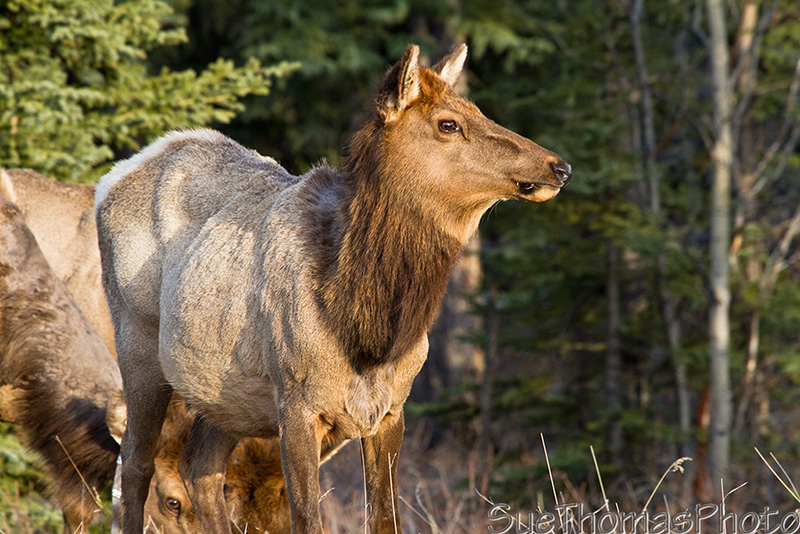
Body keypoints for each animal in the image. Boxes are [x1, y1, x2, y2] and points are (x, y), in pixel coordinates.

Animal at [95, 43, 571, 534]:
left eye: (476, 109)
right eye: (447, 123)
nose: (560, 166)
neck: (367, 333)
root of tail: (120, 171)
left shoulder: (391, 410)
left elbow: (384, 519)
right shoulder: (297, 406)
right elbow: (308, 521)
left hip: (222, 390)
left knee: (199, 466)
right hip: (135, 339)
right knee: (135, 463)